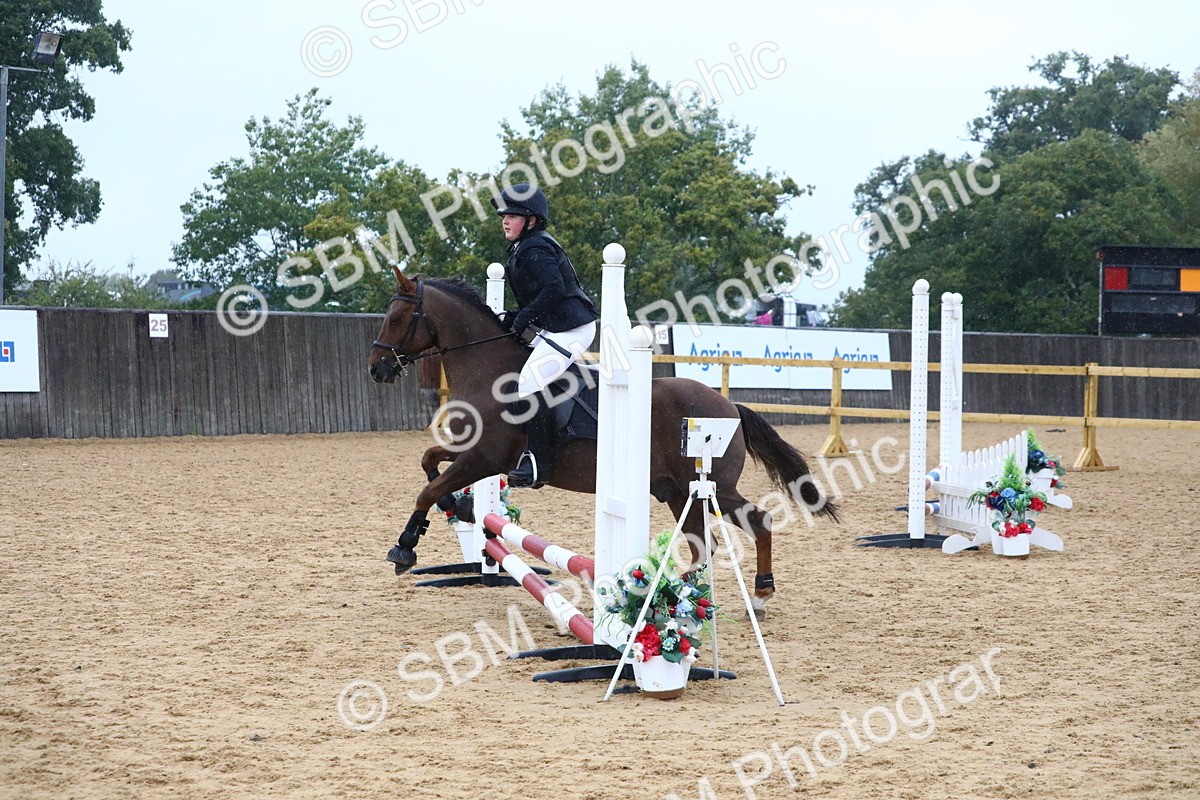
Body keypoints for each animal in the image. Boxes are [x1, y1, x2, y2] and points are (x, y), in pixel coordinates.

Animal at [367, 266, 839, 609]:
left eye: (397, 318)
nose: (376, 369)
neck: (488, 370)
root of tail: (729, 406)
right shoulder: (472, 454)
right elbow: (429, 464)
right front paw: (457, 507)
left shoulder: (484, 458)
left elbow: (426, 491)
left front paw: (405, 549)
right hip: (677, 492)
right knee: (703, 547)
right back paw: (685, 591)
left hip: (713, 486)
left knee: (757, 522)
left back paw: (758, 593)